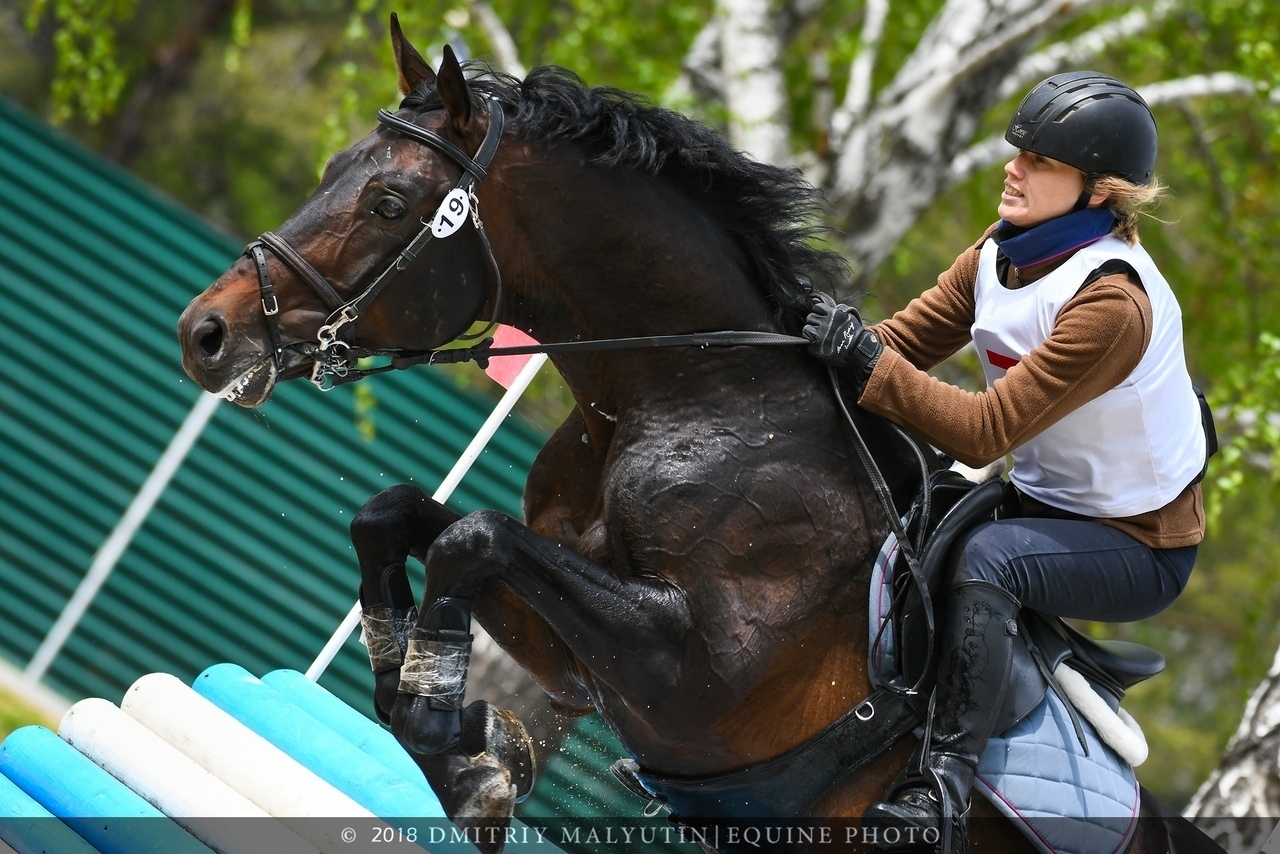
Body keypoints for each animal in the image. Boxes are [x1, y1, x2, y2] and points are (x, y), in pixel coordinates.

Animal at [177, 15, 1218, 854]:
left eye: (391, 204)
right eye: (332, 172)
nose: (206, 335)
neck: (696, 399)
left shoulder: (694, 681)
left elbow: (473, 537)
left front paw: (455, 744)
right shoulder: (575, 657)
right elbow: (398, 516)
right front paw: (441, 713)